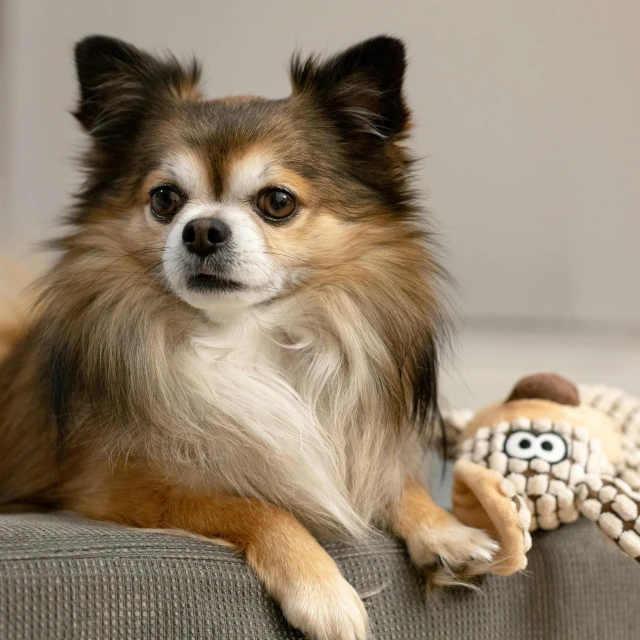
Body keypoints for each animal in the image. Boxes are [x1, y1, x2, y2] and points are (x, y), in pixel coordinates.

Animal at [0, 36, 498, 640]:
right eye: (164, 200)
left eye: (277, 201)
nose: (202, 230)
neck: (243, 337)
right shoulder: (118, 489)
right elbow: (254, 506)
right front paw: (323, 591)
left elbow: (394, 480)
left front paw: (445, 530)